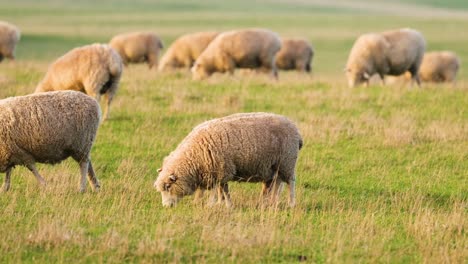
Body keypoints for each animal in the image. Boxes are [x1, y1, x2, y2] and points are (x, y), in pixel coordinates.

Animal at [152, 112, 302, 207]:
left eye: (168, 186)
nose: (166, 207)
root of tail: (296, 130)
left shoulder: (222, 170)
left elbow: (224, 190)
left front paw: (225, 205)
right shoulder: (216, 172)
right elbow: (219, 190)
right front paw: (217, 203)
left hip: (287, 161)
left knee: (290, 183)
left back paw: (291, 203)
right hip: (273, 167)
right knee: (275, 184)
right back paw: (269, 203)